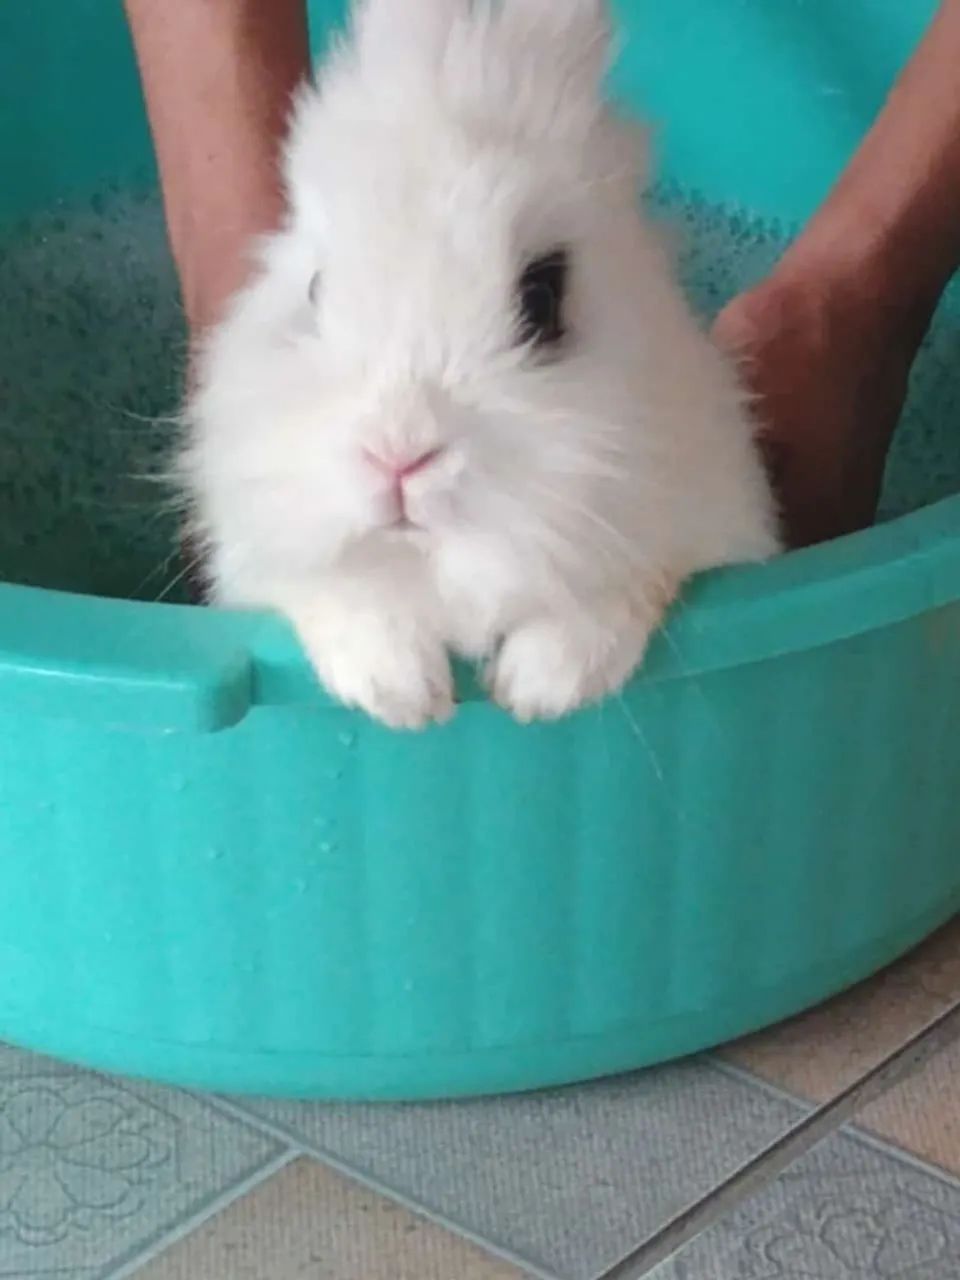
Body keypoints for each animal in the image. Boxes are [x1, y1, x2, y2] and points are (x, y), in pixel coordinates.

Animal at [180, 0, 781, 730]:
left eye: (543, 297)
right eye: (316, 289)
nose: (398, 458)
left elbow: (620, 589)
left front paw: (538, 689)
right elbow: (341, 590)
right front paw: (406, 697)